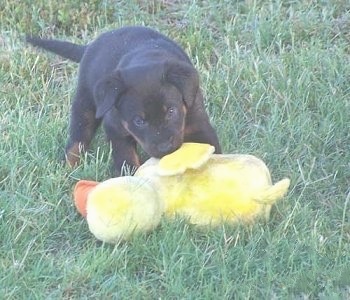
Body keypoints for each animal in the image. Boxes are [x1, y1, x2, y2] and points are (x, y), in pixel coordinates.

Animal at [26, 26, 221, 176]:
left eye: (171, 111)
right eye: (139, 121)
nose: (165, 148)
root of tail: (89, 46)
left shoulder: (197, 121)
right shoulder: (116, 129)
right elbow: (126, 159)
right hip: (85, 103)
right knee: (77, 138)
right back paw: (68, 168)